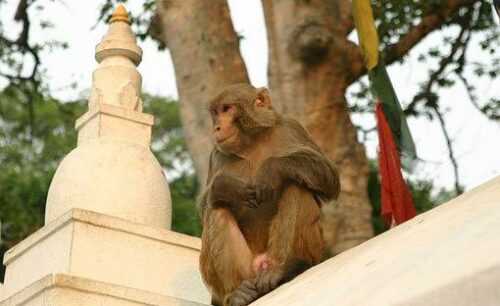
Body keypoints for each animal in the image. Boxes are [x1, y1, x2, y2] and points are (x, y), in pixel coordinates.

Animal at [199, 83, 340, 306]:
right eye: (215, 112)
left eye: (227, 109)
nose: (217, 127)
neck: (252, 142)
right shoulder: (217, 153)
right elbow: (206, 204)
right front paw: (226, 187)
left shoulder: (292, 127)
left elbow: (330, 177)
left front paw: (271, 170)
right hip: (247, 270)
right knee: (217, 208)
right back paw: (236, 293)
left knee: (295, 186)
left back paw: (286, 267)